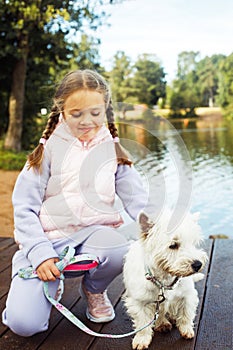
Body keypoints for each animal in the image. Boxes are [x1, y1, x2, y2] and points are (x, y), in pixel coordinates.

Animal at [123, 209, 208, 348]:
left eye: (193, 243)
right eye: (173, 245)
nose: (198, 264)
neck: (164, 280)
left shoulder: (188, 294)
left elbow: (186, 314)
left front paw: (186, 330)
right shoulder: (139, 302)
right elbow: (142, 322)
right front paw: (141, 340)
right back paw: (163, 324)